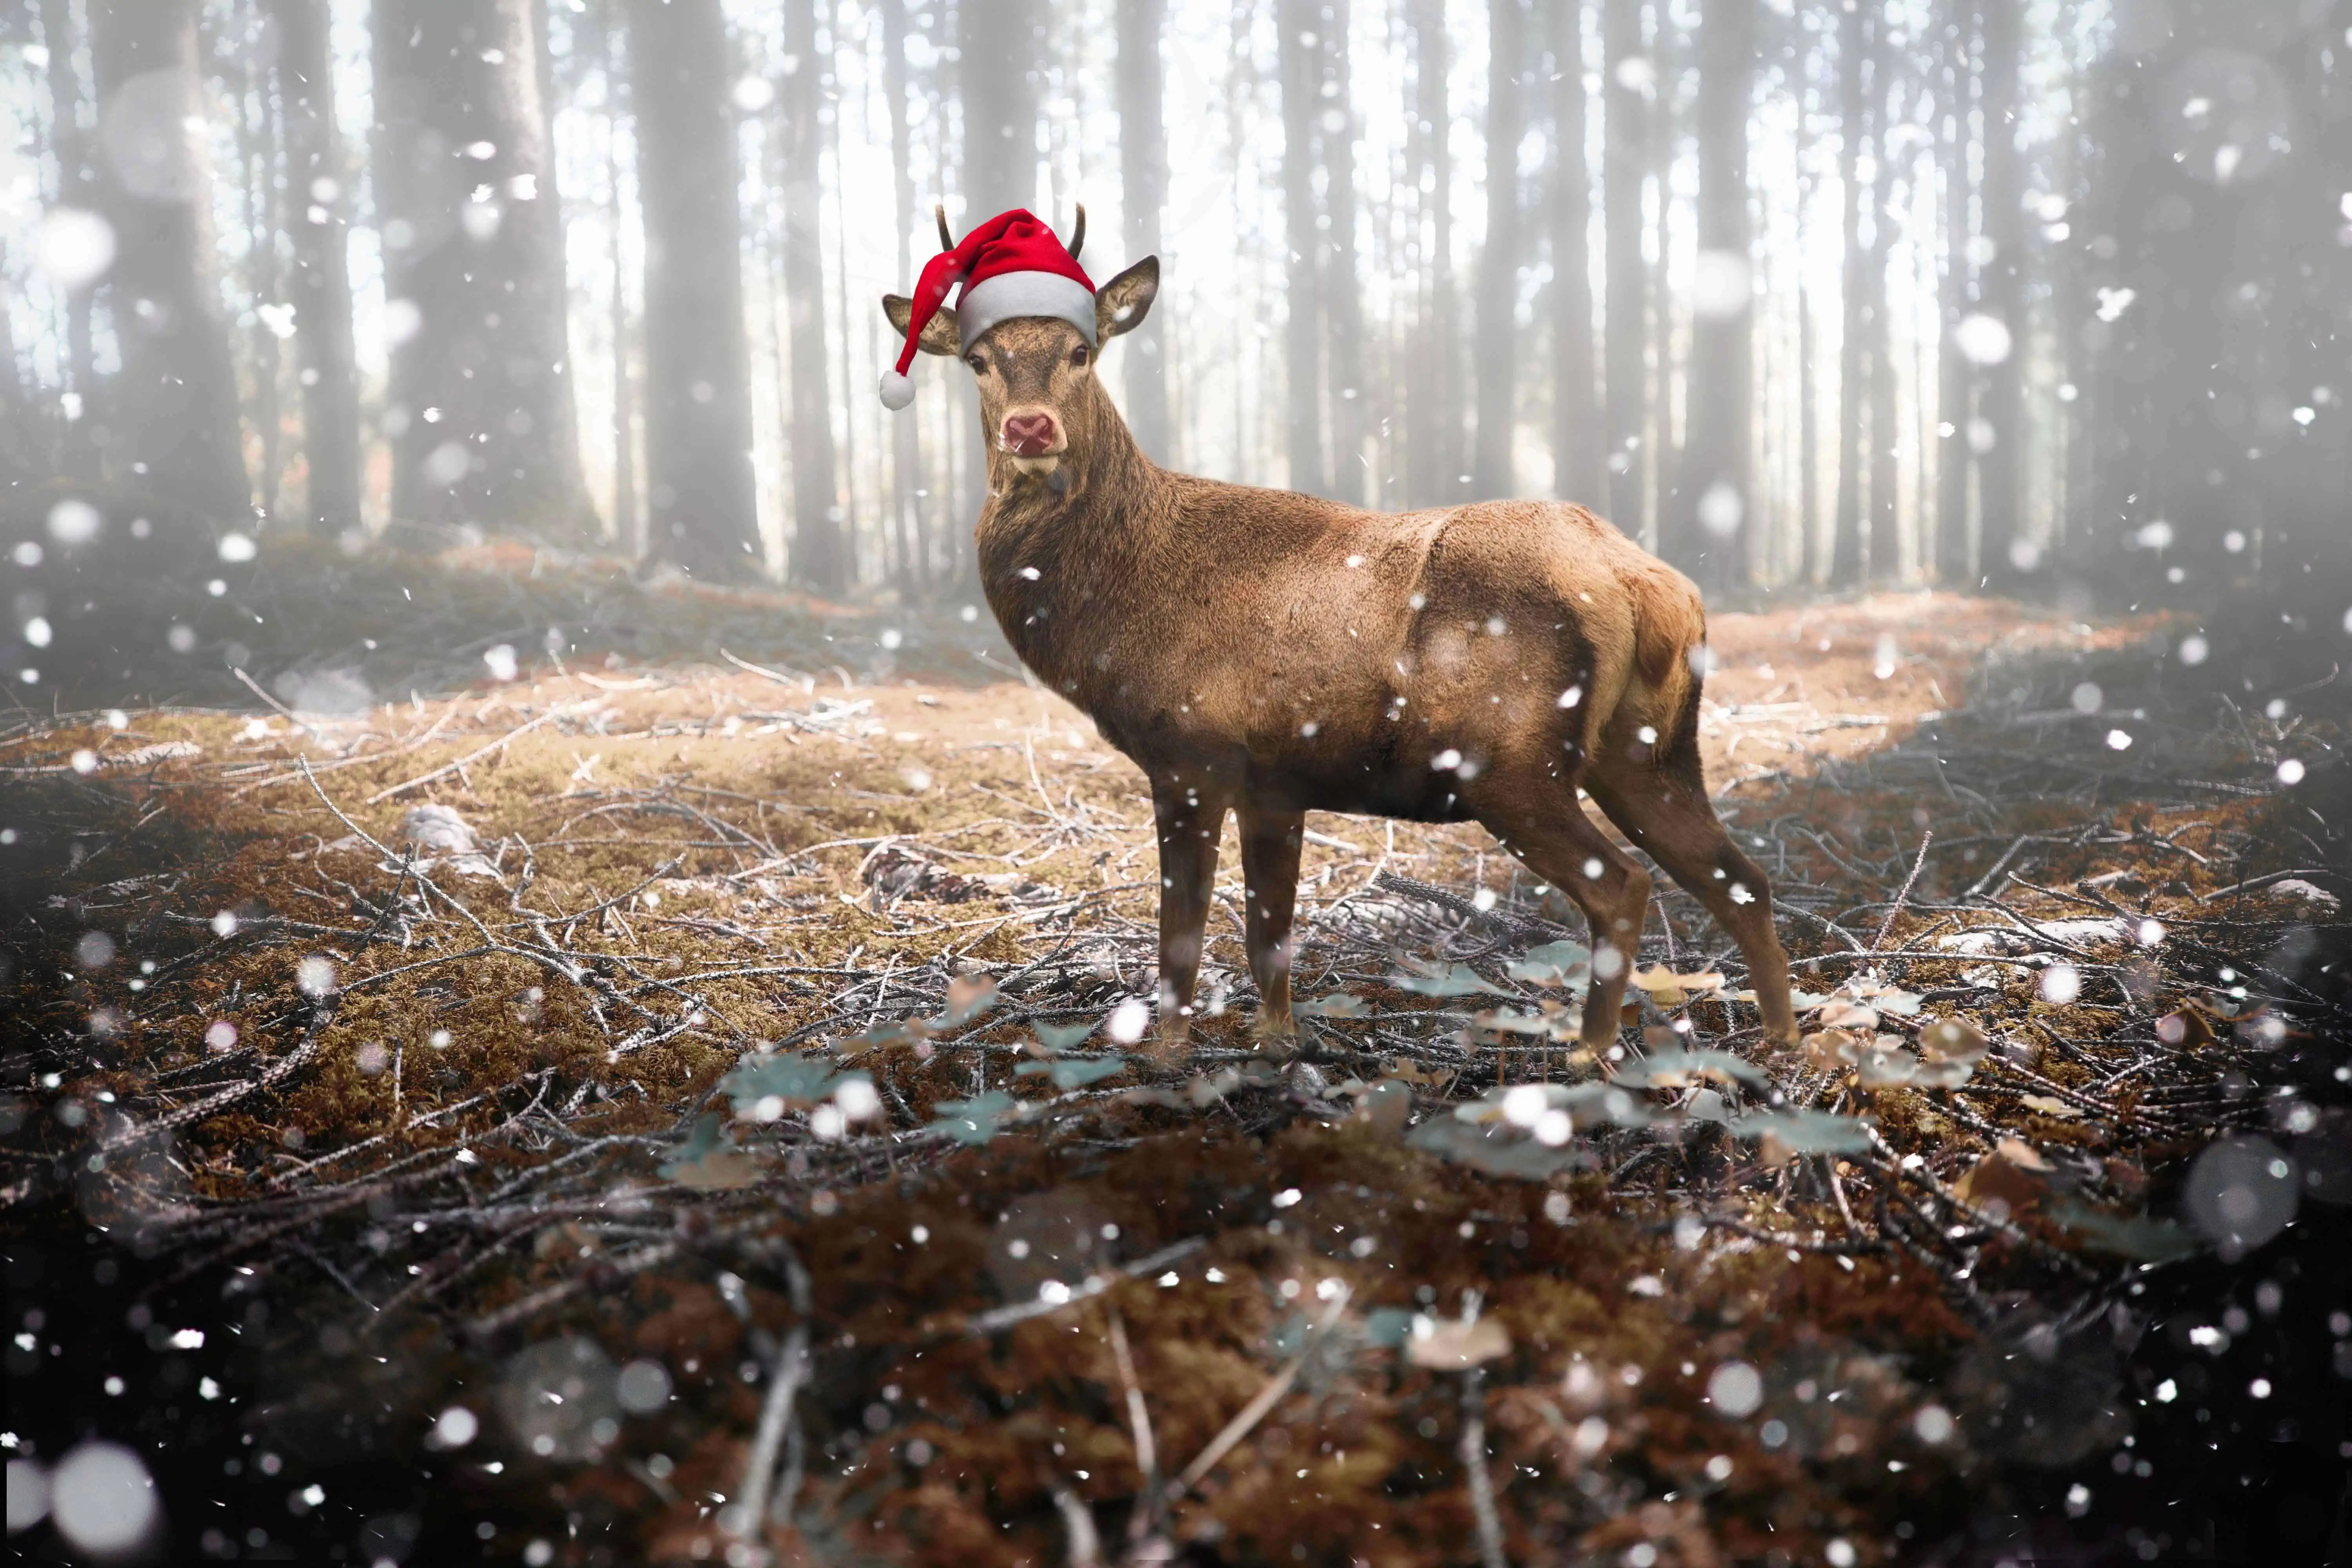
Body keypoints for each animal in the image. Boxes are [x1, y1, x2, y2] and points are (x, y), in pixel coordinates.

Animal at [878, 207, 1798, 1055]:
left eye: (1082, 351)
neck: (1117, 610)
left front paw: (1168, 1053)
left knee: (1623, 884)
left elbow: (1183, 934)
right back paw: (1783, 1039)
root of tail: (1646, 584)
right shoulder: (1274, 781)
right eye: (978, 360)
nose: (1030, 428)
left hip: (1512, 758)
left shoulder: (1189, 753)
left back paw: (1590, 1050)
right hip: (1649, 749)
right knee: (1741, 877)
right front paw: (1277, 1042)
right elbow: (1269, 938)